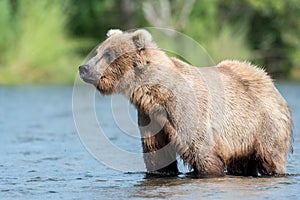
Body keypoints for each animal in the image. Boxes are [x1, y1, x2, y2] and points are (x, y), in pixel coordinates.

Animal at [79, 28, 292, 177]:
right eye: (97, 51)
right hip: (241, 138)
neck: (155, 93)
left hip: (263, 124)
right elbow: (156, 155)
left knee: (271, 156)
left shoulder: (187, 111)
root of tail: (268, 78)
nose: (84, 67)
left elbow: (201, 151)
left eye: (108, 54)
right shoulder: (149, 117)